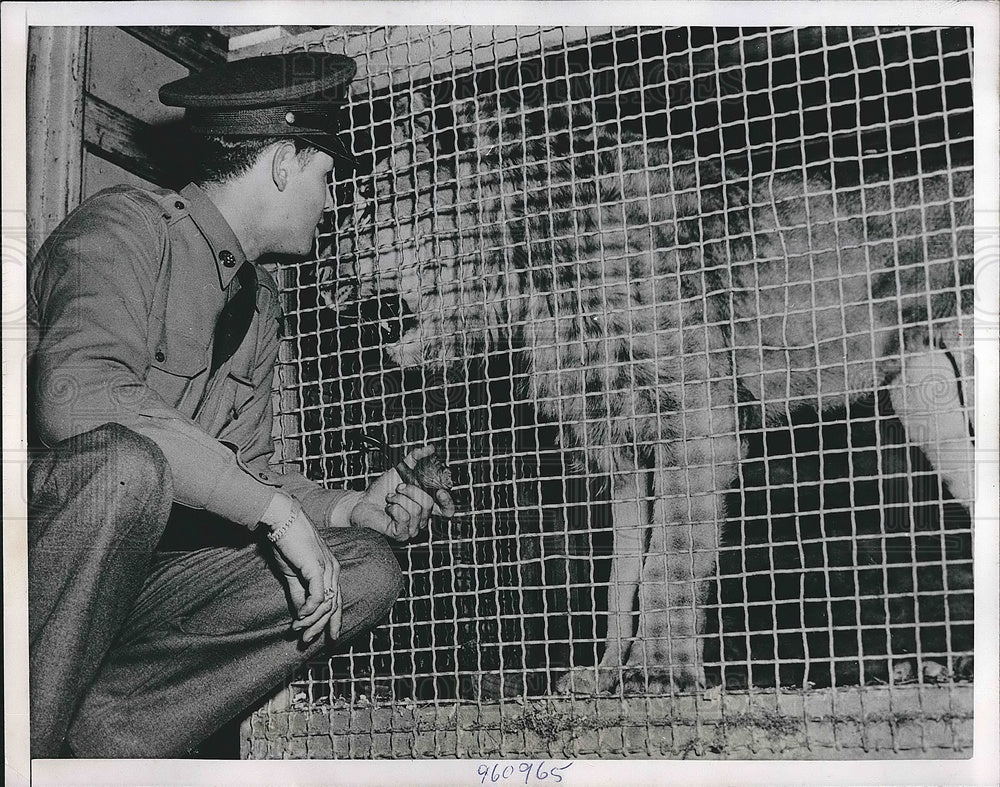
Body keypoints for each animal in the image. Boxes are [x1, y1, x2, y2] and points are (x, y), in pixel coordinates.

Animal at [330, 86, 976, 692]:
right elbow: (624, 574)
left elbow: (668, 561)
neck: (531, 265)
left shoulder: (696, 421)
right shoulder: (620, 440)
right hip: (927, 400)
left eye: (370, 207)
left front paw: (657, 674)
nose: (324, 280)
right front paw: (604, 677)